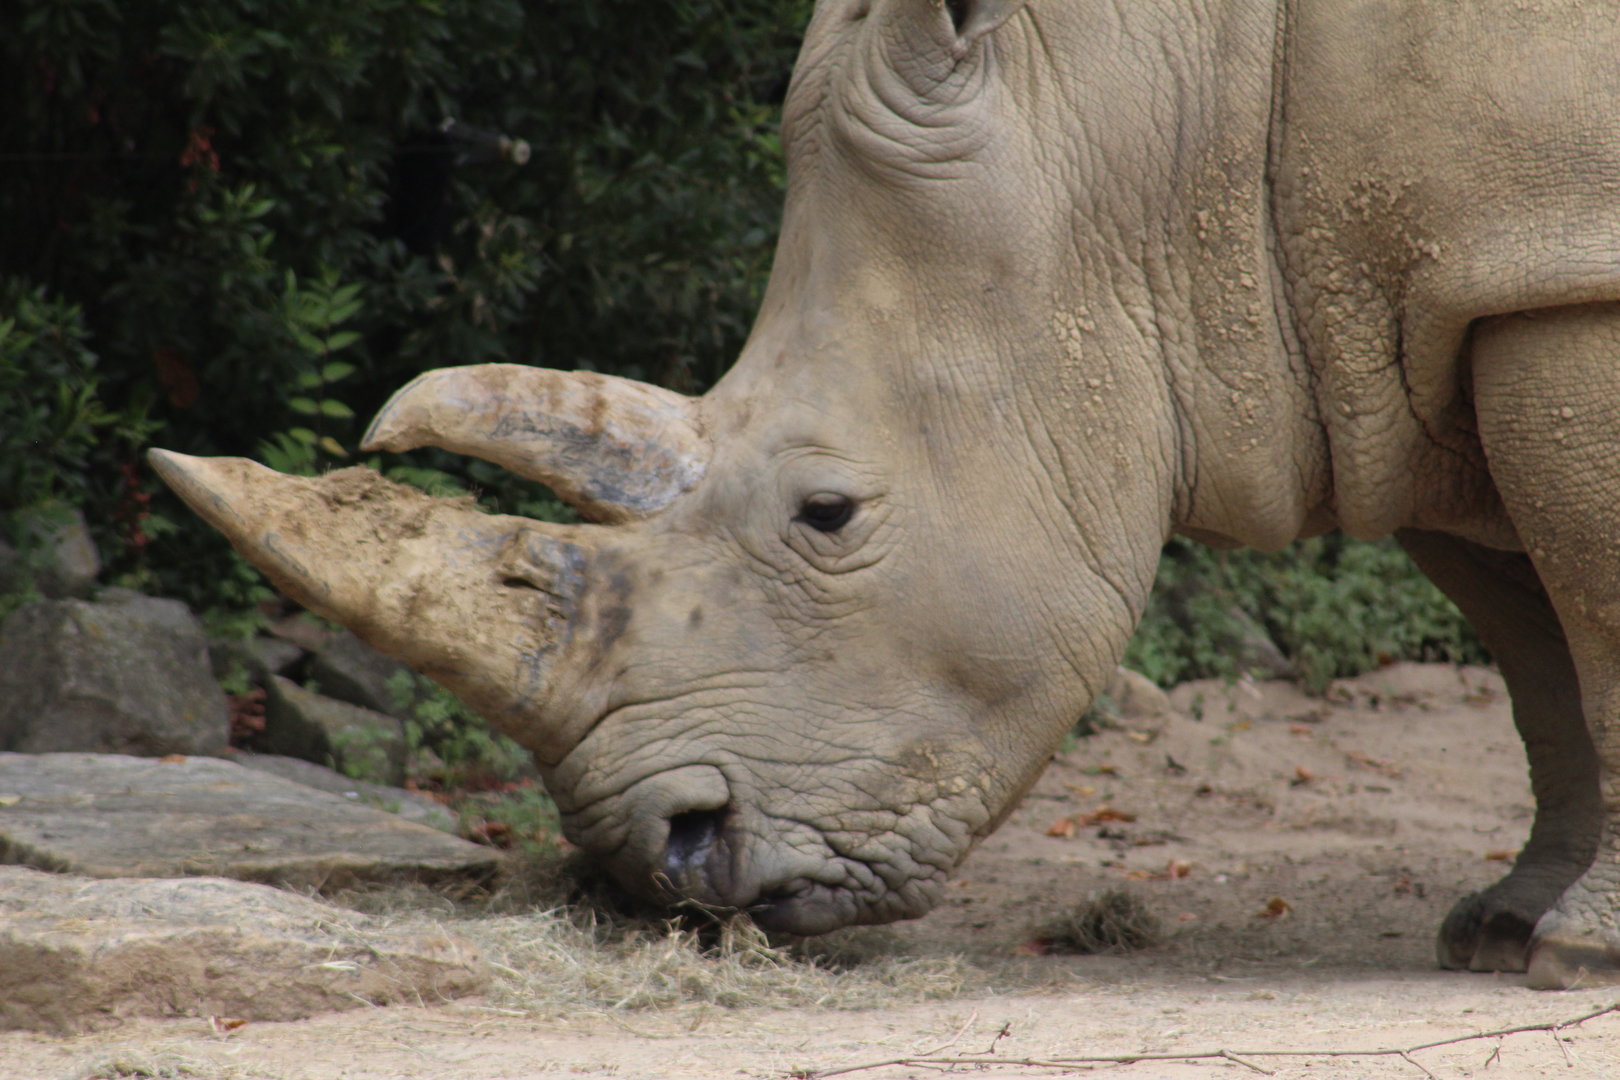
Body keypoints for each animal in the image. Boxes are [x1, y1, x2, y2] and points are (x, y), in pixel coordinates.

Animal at [151, 0, 1620, 988]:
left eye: (829, 515)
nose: (660, 862)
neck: (1152, 110)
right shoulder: (1422, 306)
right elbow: (1533, 648)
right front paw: (1503, 929)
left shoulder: (1551, 272)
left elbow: (1590, 605)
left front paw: (1579, 960)